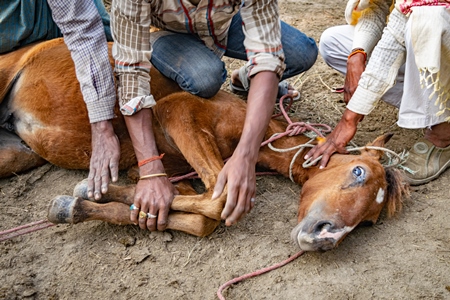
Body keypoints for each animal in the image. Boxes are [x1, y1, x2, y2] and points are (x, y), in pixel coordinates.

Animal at [0, 38, 408, 252]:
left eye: (370, 221)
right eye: (357, 171)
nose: (325, 238)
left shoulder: (153, 167)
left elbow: (191, 212)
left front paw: (89, 200)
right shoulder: (177, 112)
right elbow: (214, 199)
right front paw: (87, 192)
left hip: (15, 153)